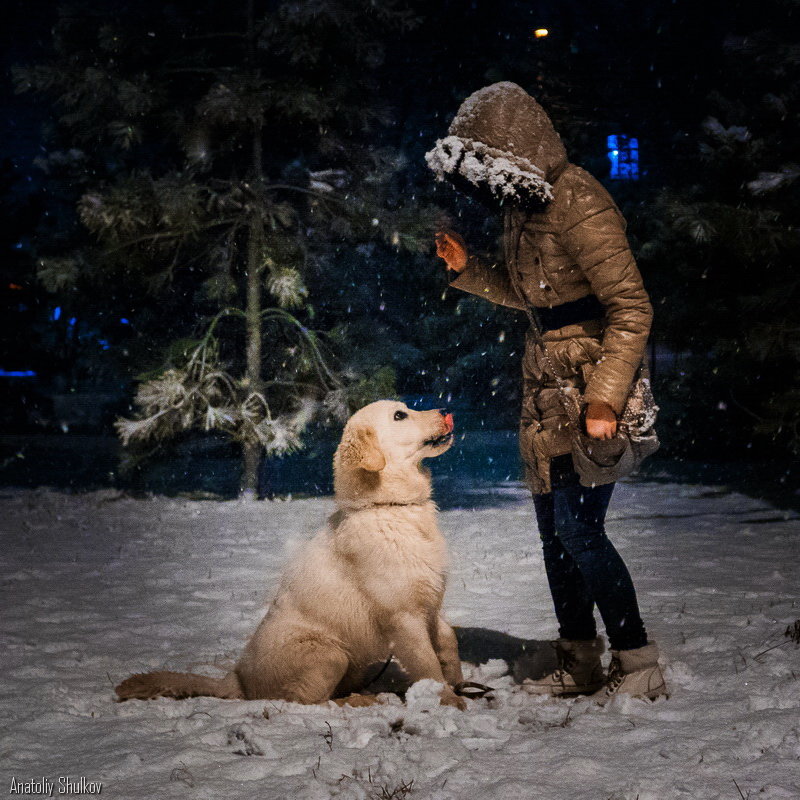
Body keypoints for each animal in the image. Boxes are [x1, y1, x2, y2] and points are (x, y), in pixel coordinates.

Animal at [115, 404, 466, 708]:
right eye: (399, 415)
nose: (446, 411)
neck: (388, 507)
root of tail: (237, 680)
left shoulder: (430, 604)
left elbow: (448, 640)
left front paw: (458, 680)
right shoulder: (404, 616)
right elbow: (426, 663)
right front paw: (448, 699)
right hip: (329, 654)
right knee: (307, 701)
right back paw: (361, 701)